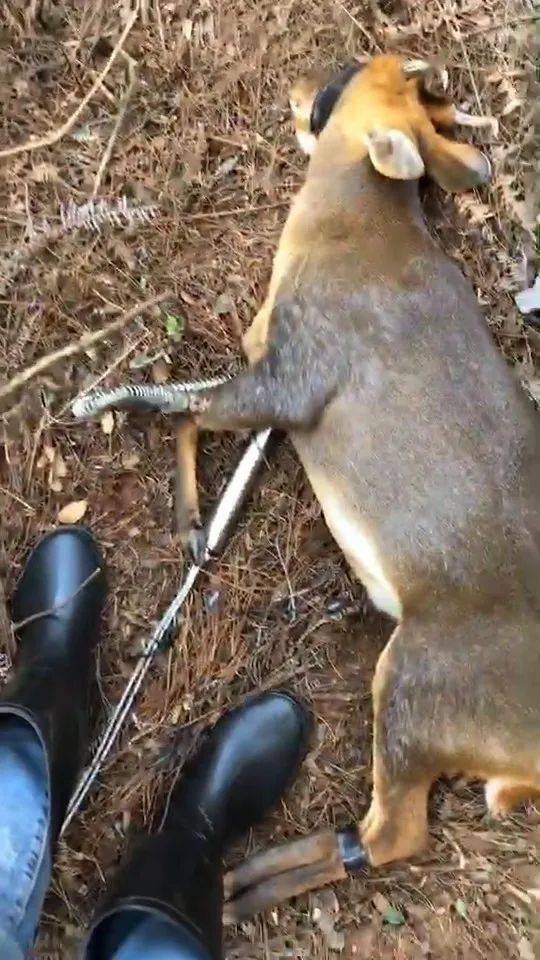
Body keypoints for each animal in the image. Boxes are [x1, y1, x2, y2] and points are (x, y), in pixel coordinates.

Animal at [73, 54, 540, 924]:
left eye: (352, 73)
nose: (294, 91)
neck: (343, 231)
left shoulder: (299, 373)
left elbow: (195, 412)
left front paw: (191, 518)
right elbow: (194, 402)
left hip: (419, 680)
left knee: (396, 833)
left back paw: (241, 883)